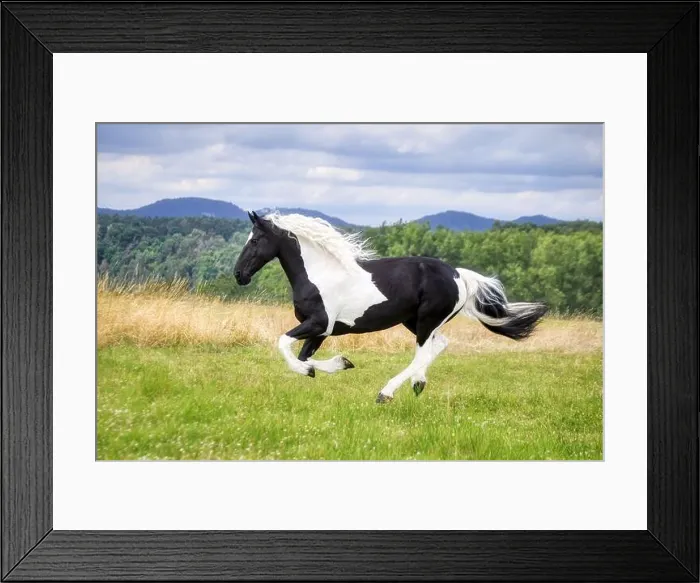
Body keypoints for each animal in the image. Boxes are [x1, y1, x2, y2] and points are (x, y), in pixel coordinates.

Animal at [234, 211, 548, 403]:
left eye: (256, 239)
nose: (239, 275)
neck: (320, 274)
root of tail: (459, 275)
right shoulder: (322, 331)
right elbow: (304, 355)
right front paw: (339, 364)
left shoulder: (319, 323)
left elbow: (284, 343)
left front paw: (315, 369)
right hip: (416, 321)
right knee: (439, 345)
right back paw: (417, 384)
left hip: (426, 321)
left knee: (422, 354)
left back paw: (386, 393)